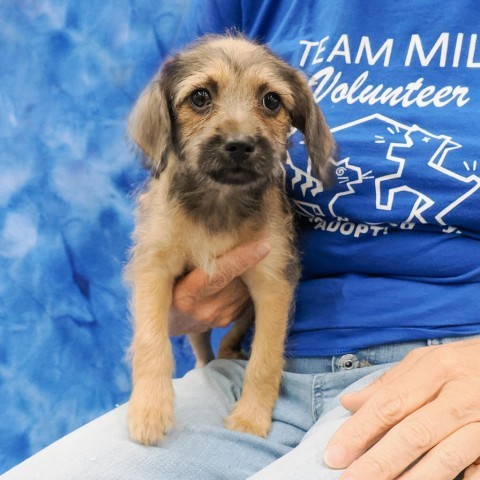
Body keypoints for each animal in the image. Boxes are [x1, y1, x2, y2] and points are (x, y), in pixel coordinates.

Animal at [125, 34, 332, 446]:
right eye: (200, 97)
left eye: (271, 101)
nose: (239, 144)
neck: (220, 202)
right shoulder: (154, 269)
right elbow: (151, 343)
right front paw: (149, 410)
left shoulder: (272, 284)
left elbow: (266, 357)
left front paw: (250, 419)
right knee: (202, 345)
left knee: (230, 339)